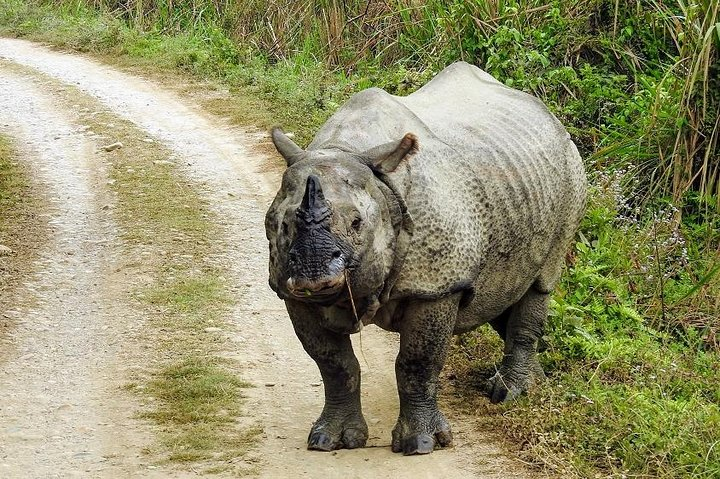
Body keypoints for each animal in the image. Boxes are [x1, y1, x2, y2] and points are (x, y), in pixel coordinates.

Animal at [265, 62, 586, 455]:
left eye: (357, 224)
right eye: (283, 224)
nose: (316, 273)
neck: (346, 149)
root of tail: (551, 117)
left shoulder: (436, 286)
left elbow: (417, 362)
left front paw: (420, 444)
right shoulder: (291, 292)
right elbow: (334, 363)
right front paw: (329, 440)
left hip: (571, 172)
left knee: (542, 281)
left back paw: (510, 394)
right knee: (503, 291)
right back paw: (534, 382)